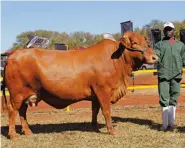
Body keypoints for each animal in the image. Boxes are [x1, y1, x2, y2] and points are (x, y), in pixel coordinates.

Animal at [1, 30, 158, 139]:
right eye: (134, 43)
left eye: (145, 41)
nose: (154, 57)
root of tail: (13, 54)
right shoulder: (103, 91)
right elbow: (106, 111)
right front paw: (112, 131)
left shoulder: (95, 95)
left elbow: (95, 111)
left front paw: (95, 128)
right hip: (16, 95)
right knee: (12, 111)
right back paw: (13, 135)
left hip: (26, 95)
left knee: (22, 112)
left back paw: (28, 131)